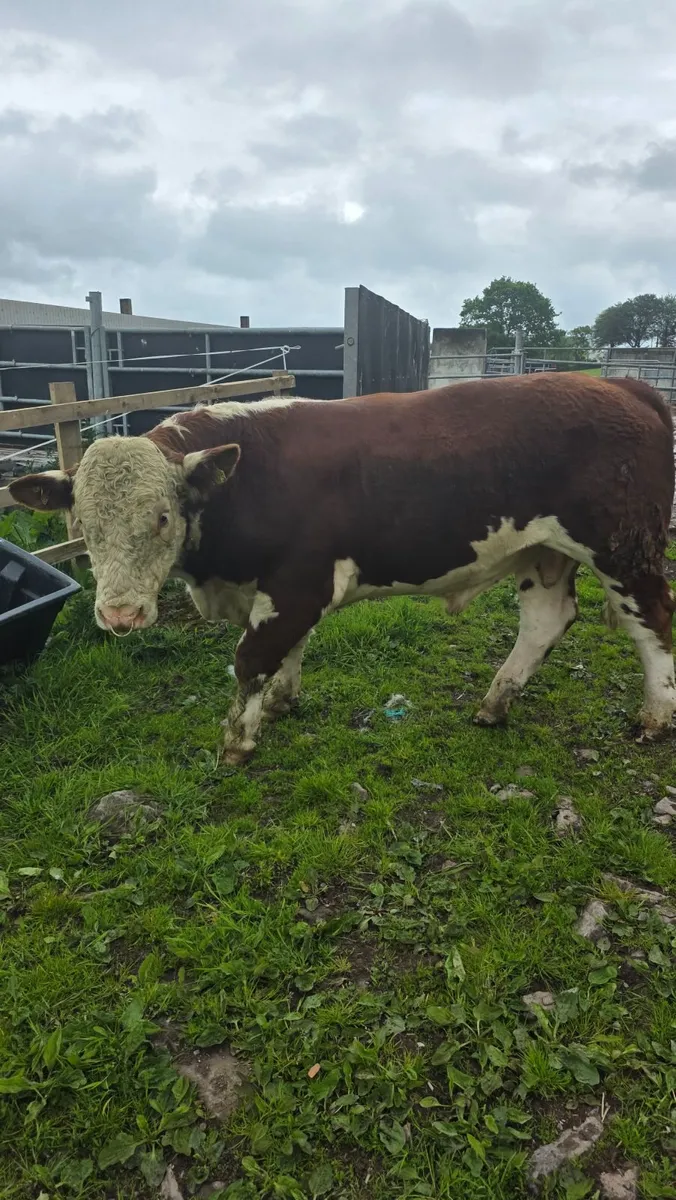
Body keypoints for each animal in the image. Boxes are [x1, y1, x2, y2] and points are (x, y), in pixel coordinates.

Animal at [10, 372, 676, 764]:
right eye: (82, 524)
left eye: (162, 517)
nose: (120, 614)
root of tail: (621, 384)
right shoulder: (277, 589)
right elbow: (285, 651)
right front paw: (280, 702)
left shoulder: (299, 581)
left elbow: (251, 657)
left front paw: (237, 740)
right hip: (543, 550)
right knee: (546, 619)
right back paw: (495, 702)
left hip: (625, 549)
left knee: (654, 623)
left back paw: (655, 717)